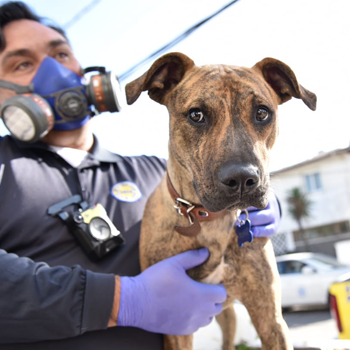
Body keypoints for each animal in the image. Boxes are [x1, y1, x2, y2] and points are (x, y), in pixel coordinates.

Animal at [124, 53, 316, 350]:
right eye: (196, 115)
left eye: (262, 112)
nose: (242, 178)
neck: (209, 220)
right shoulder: (176, 320)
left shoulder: (270, 317)